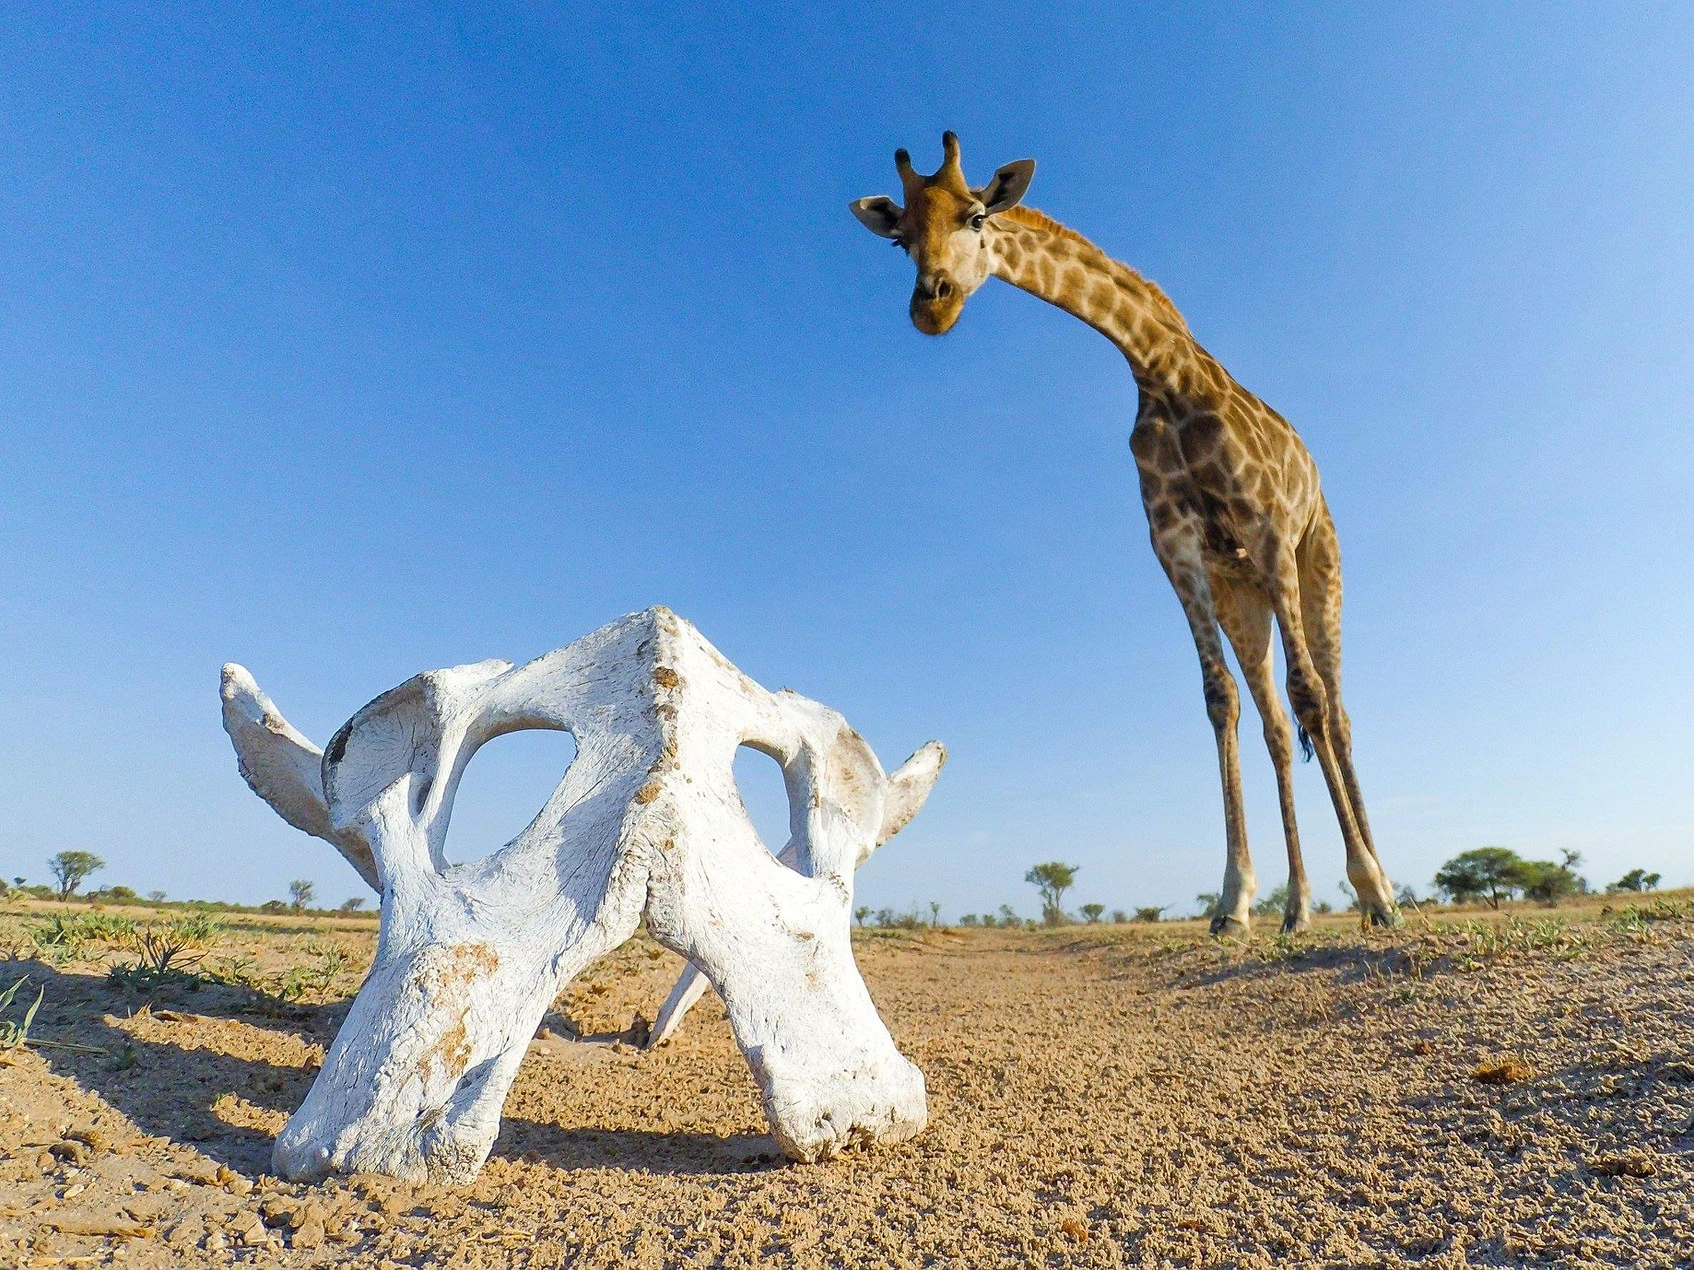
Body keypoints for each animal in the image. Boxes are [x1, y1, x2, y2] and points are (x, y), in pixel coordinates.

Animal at [853, 134, 1395, 934]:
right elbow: (1220, 700)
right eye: (900, 239)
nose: (932, 305)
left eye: (976, 215)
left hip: (1314, 563)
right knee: (1274, 723)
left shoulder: (1266, 528)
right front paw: (1234, 901)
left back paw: (1380, 891)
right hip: (1243, 596)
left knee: (1334, 704)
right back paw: (1297, 907)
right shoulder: (1176, 549)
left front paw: (1370, 890)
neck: (1159, 365)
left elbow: (1310, 698)